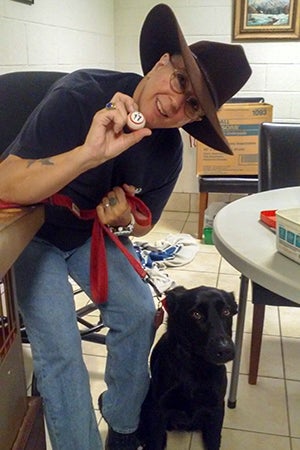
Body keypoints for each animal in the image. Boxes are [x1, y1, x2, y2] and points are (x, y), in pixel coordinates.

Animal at [139, 286, 239, 448]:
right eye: (196, 314)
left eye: (226, 312)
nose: (225, 350)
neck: (195, 367)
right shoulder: (159, 408)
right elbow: (156, 440)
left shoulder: (216, 409)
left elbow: (214, 440)